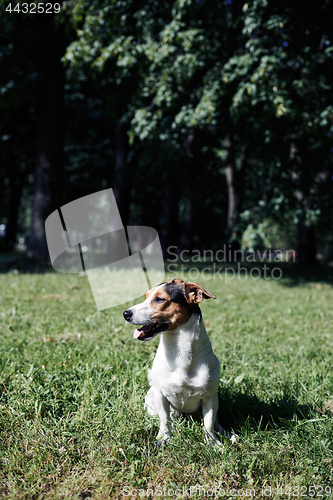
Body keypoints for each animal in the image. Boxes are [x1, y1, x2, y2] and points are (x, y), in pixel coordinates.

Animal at [122, 280, 236, 448]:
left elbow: (208, 424)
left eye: (159, 299)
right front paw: (164, 438)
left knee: (215, 421)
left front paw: (213, 443)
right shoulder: (161, 396)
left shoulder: (209, 398)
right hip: (152, 400)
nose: (125, 313)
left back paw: (226, 433)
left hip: (215, 401)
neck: (180, 352)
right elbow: (164, 420)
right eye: (146, 296)